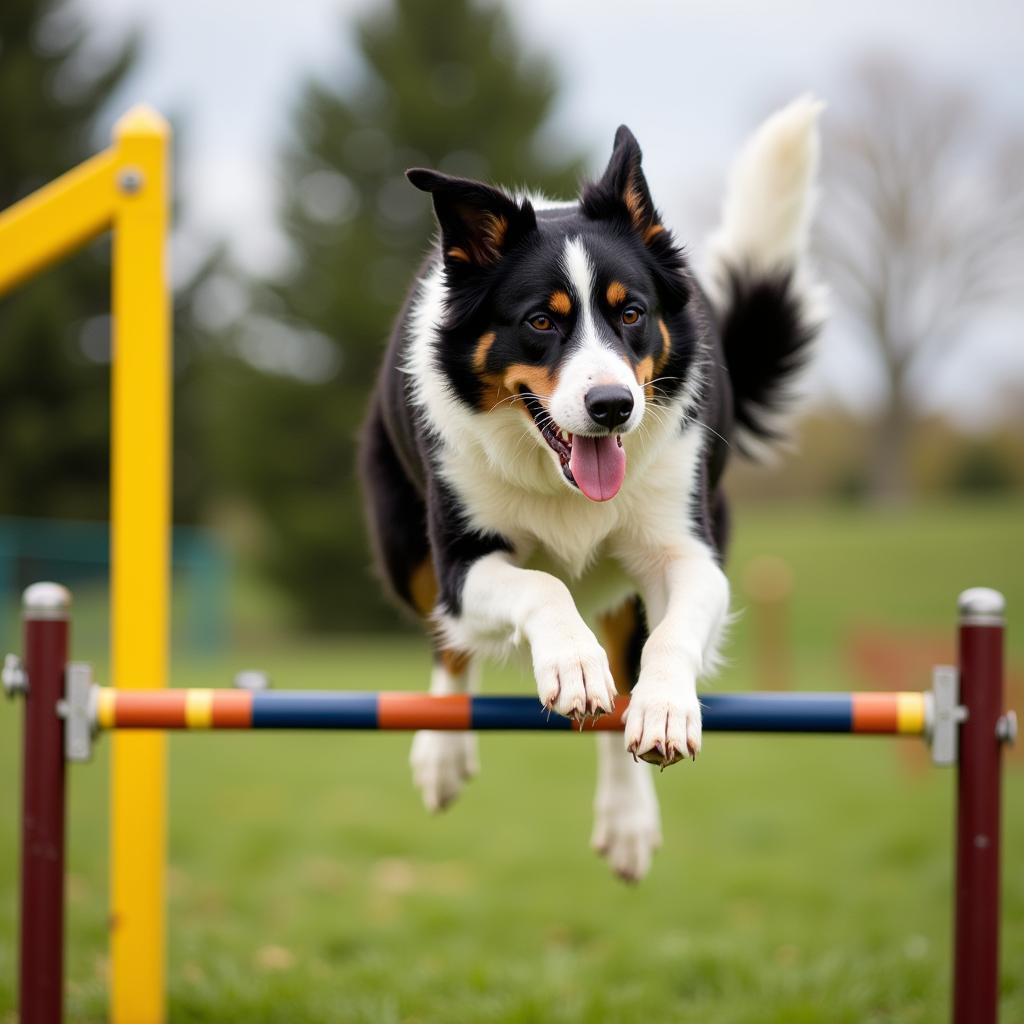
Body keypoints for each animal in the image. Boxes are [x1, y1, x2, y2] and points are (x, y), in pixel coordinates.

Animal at [360, 94, 823, 880]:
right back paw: (444, 754)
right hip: (403, 544)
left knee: (619, 686)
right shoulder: (462, 559)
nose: (612, 406)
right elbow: (540, 590)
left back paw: (628, 818)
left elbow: (667, 640)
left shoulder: (687, 548)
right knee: (451, 644)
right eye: (541, 321)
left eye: (630, 312)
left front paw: (665, 710)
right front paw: (569, 667)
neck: (566, 485)